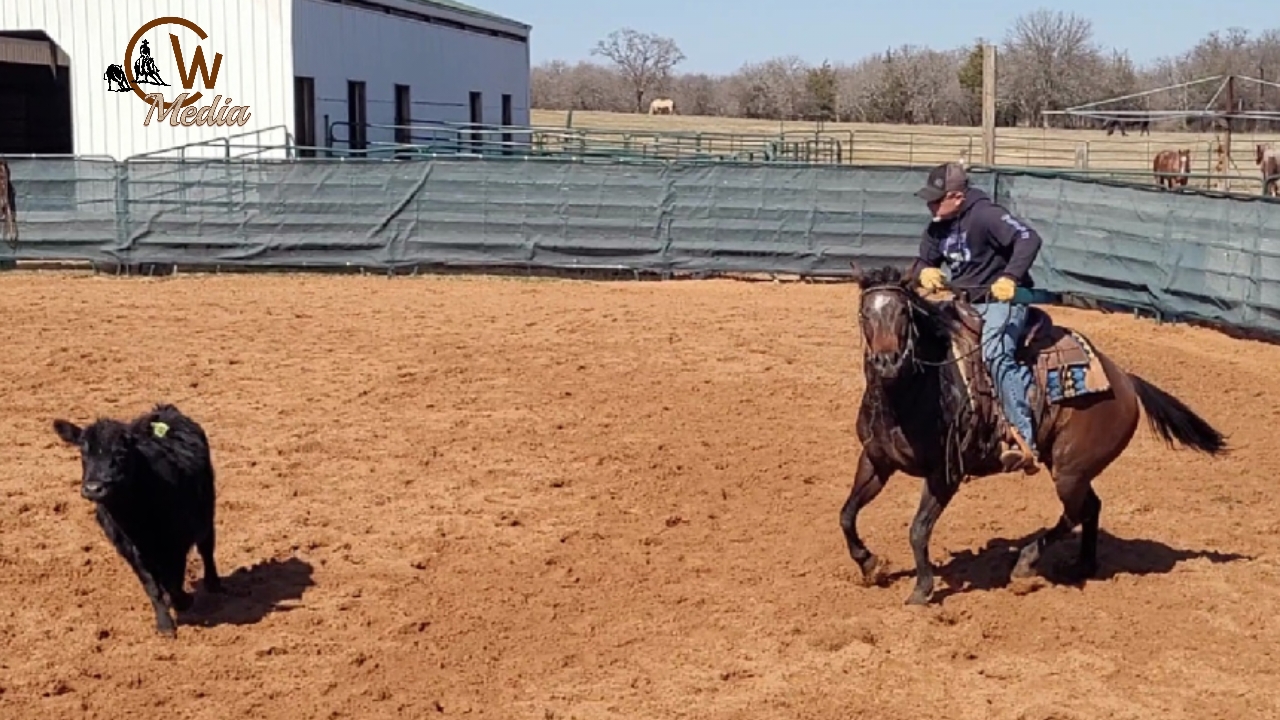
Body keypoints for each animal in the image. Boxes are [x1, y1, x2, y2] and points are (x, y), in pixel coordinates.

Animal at [52, 403, 221, 637]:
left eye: (121, 453)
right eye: (83, 452)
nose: (94, 488)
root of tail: (165, 409)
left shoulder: (176, 541)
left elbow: (174, 579)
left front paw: (183, 602)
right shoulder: (128, 548)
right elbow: (152, 586)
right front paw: (165, 624)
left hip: (206, 511)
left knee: (206, 549)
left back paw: (213, 584)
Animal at [841, 264, 1228, 606]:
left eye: (903, 314)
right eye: (864, 314)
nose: (887, 362)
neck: (913, 395)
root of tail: (1124, 379)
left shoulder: (945, 474)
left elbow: (918, 530)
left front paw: (922, 590)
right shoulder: (876, 460)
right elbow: (847, 514)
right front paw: (870, 565)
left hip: (1070, 470)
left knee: (1075, 512)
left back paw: (1025, 566)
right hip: (1076, 469)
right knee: (1091, 507)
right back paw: (1082, 565)